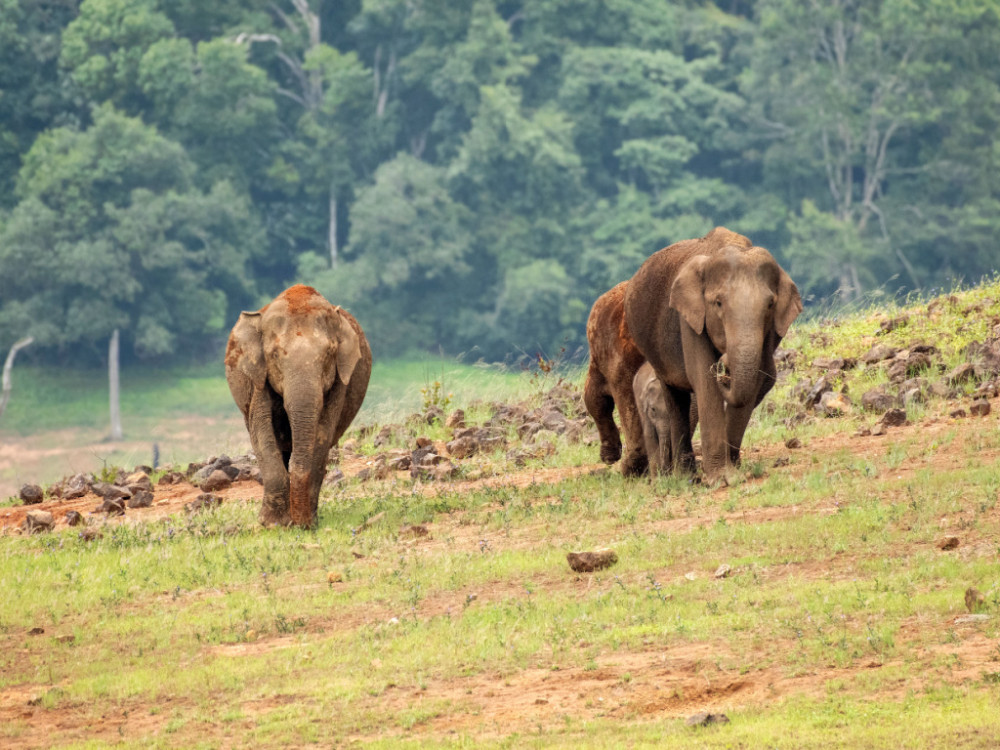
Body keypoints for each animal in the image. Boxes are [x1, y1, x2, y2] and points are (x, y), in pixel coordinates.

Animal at [223, 286, 372, 528]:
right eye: (274, 355)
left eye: (328, 355)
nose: (300, 525)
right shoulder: (259, 378)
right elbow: (261, 432)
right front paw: (272, 524)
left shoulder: (341, 380)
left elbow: (323, 433)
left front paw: (306, 523)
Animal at [624, 226, 804, 482]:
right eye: (718, 303)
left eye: (770, 305)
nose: (725, 367)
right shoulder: (690, 318)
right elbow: (702, 379)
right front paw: (721, 479)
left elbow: (759, 378)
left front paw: (733, 471)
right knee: (675, 396)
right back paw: (685, 476)